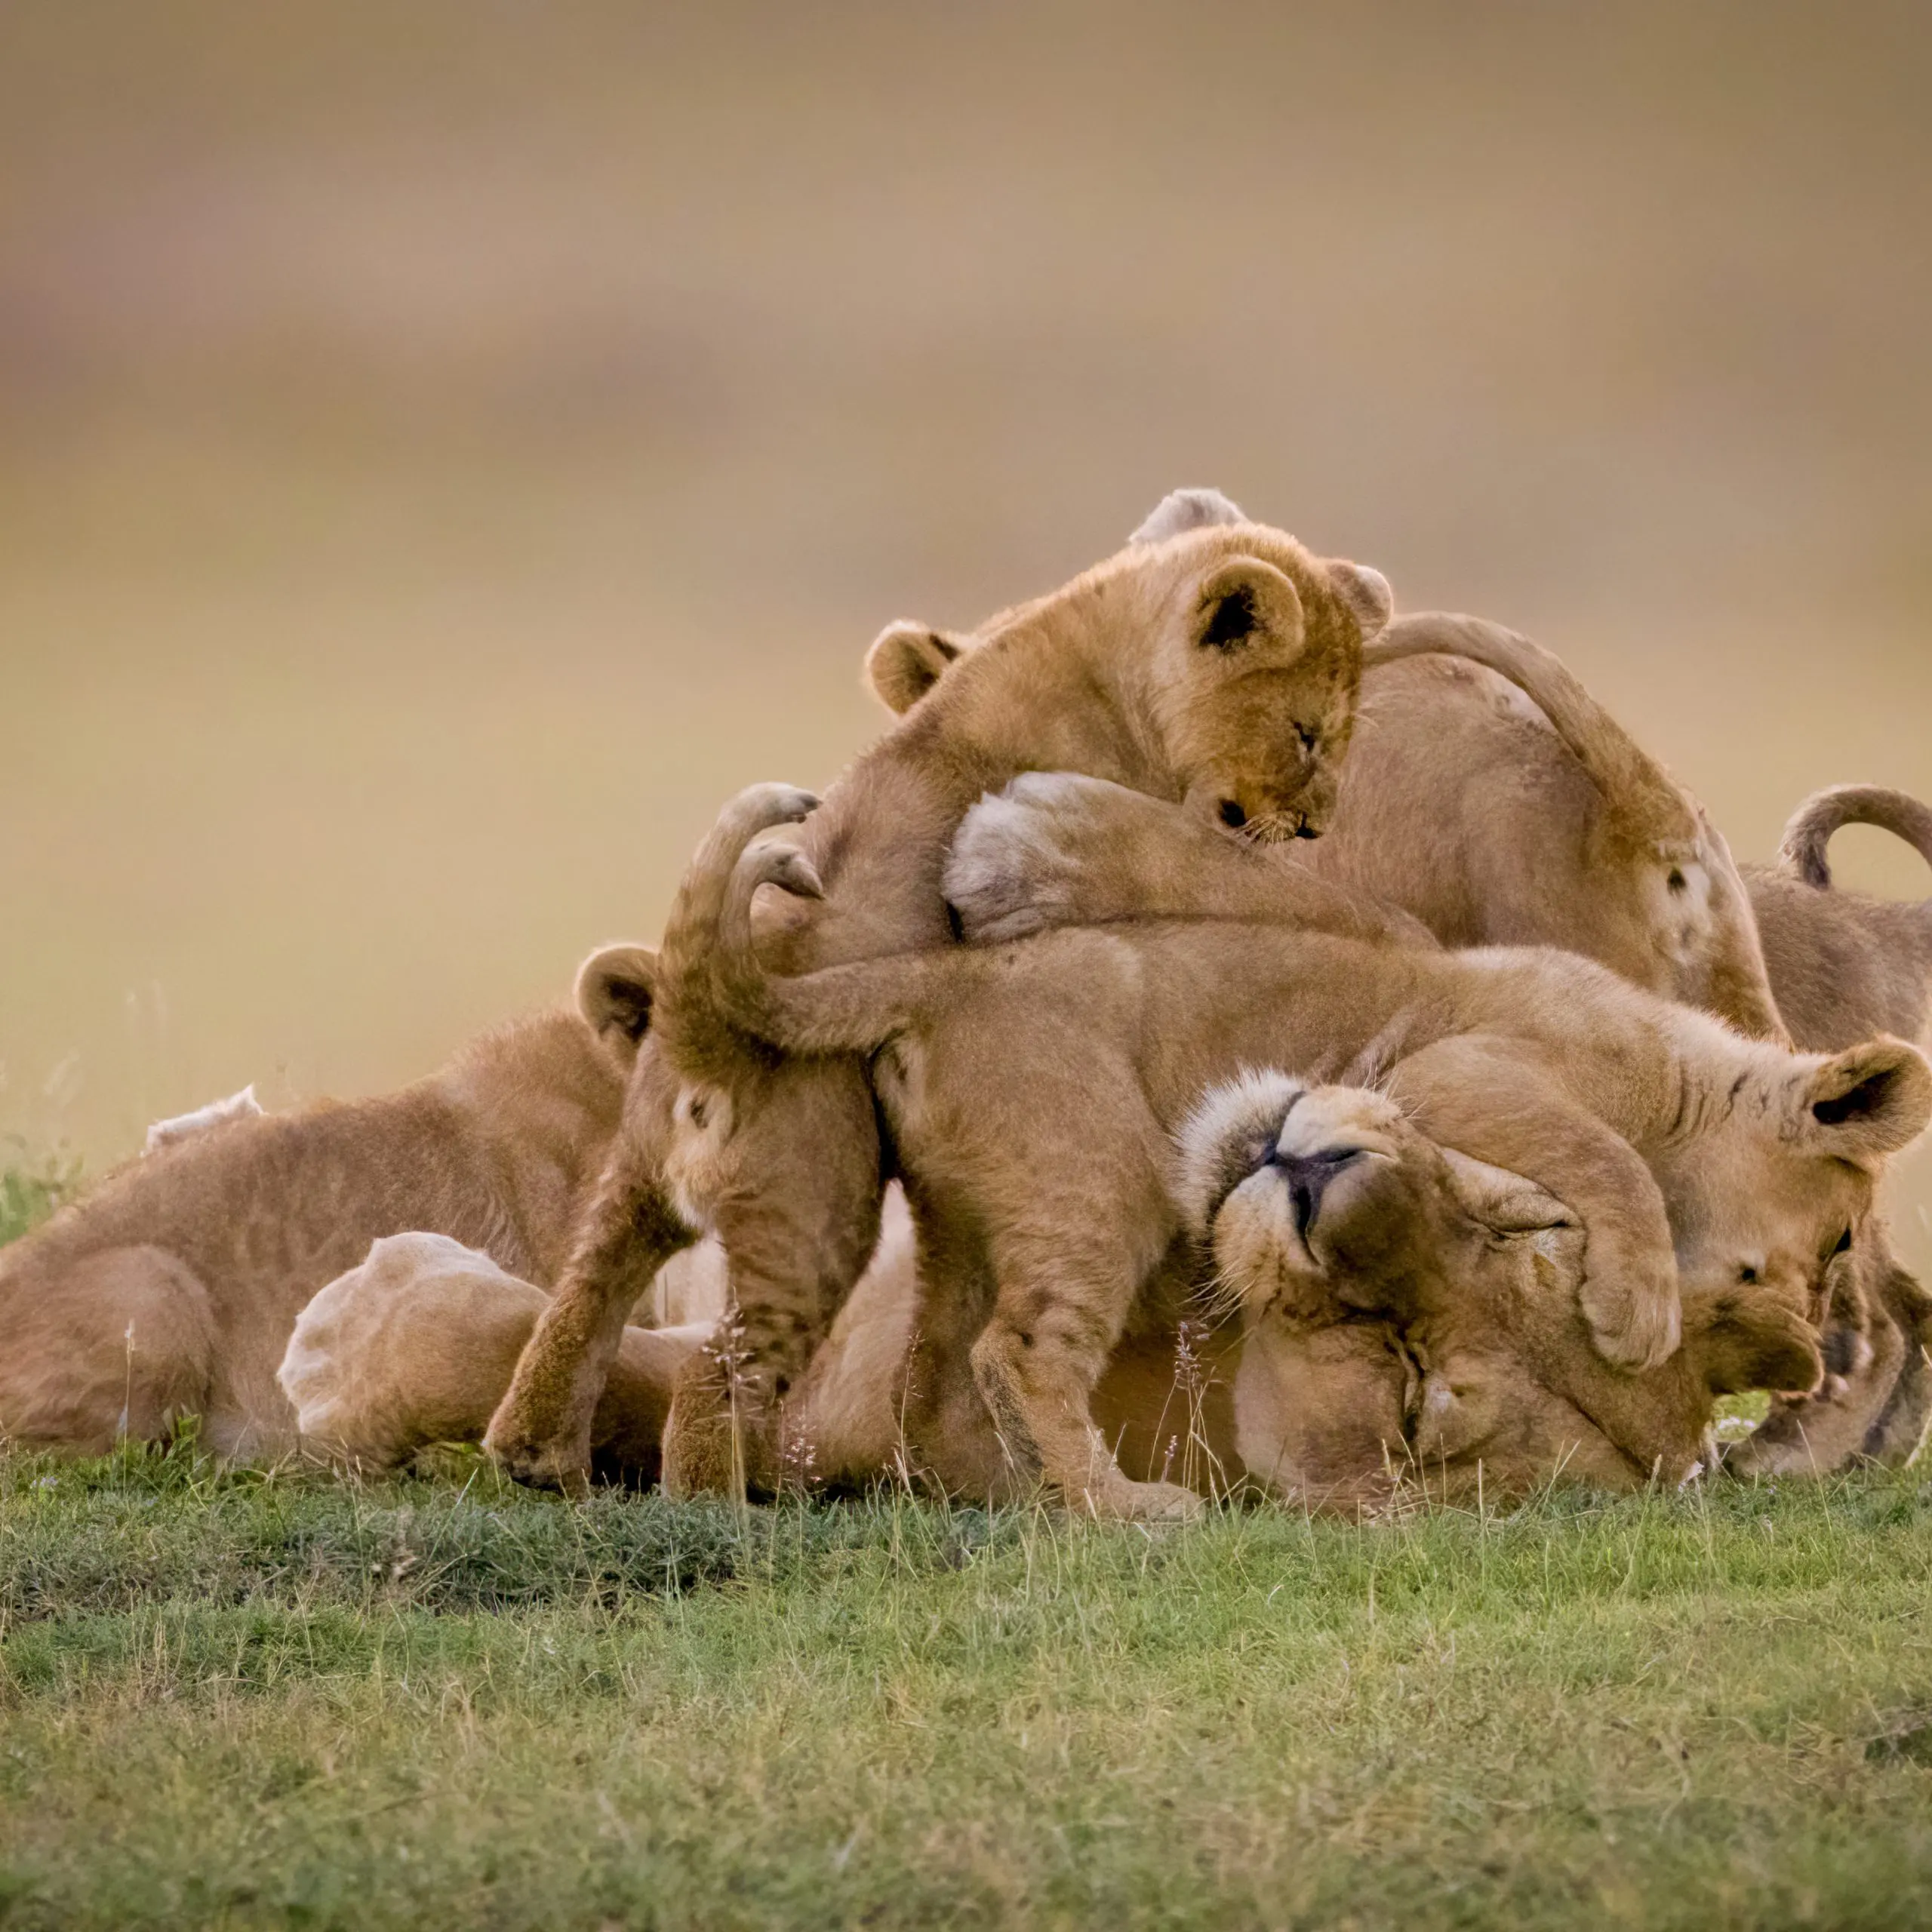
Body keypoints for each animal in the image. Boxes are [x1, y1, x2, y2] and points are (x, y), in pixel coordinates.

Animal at [484, 494, 1402, 1496]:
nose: (1313, 824)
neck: (1093, 652)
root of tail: (701, 1035)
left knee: (583, 1296)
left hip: (636, 1179)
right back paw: (718, 1502)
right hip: (817, 1205)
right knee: (717, 1369)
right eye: (1307, 732)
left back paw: (534, 1454)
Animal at [641, 780, 1926, 1519]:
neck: (1681, 1075)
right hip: (1098, 1178)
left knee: (934, 1371)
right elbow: (1600, 1157)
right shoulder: (1459, 1071)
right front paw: (1636, 1307)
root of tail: (937, 981)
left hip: (948, 1220)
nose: (1823, 1336)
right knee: (1020, 1350)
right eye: (1835, 1239)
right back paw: (1130, 1509)